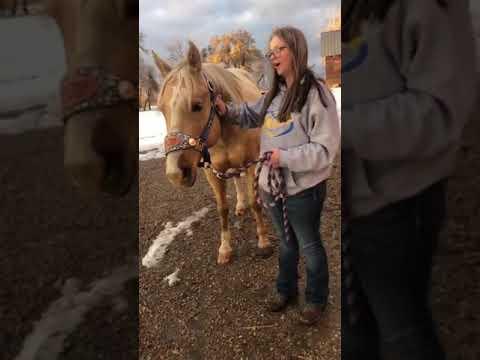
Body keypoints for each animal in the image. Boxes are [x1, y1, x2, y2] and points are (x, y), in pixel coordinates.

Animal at [155, 42, 272, 264]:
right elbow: (222, 209)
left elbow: (256, 203)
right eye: (162, 110)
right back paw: (240, 205)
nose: (175, 174)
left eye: (197, 105)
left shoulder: (252, 163)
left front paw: (263, 240)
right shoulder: (212, 172)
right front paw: (225, 248)